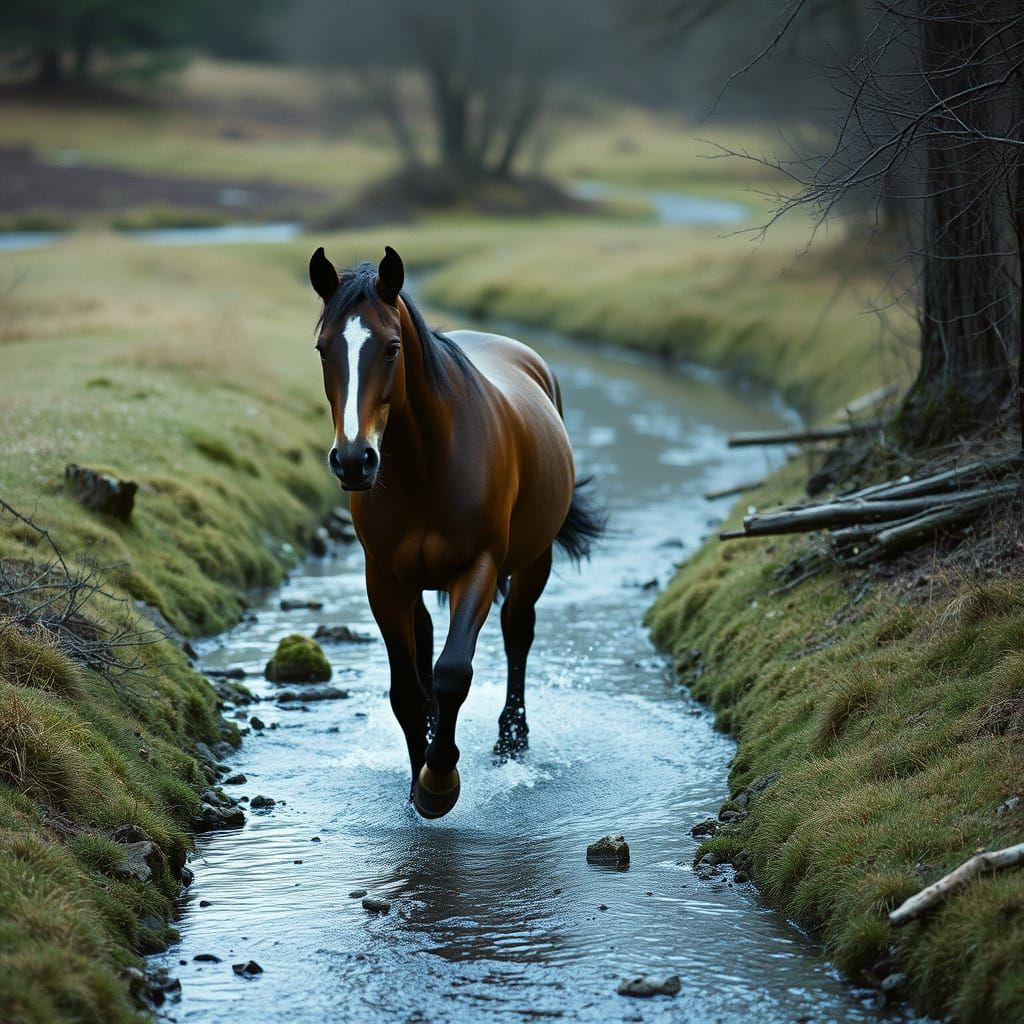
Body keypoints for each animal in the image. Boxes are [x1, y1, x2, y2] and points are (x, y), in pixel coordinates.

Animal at [308, 245, 604, 819]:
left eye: (392, 348)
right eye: (322, 349)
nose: (353, 460)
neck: (427, 466)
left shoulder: (479, 568)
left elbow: (452, 674)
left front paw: (439, 781)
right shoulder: (384, 580)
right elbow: (408, 689)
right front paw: (416, 780)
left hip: (533, 563)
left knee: (517, 631)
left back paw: (512, 738)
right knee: (424, 644)